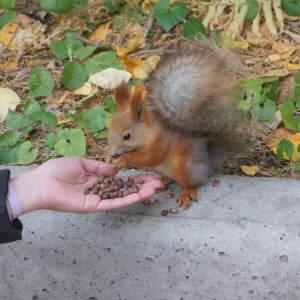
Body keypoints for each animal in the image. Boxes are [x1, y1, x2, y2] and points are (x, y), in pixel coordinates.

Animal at [106, 41, 247, 210]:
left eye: (127, 136)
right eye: (109, 130)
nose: (114, 153)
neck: (149, 132)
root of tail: (207, 165)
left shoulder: (162, 142)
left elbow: (149, 158)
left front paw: (123, 160)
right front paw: (109, 158)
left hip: (185, 167)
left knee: (192, 182)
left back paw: (187, 192)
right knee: (170, 178)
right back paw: (160, 182)